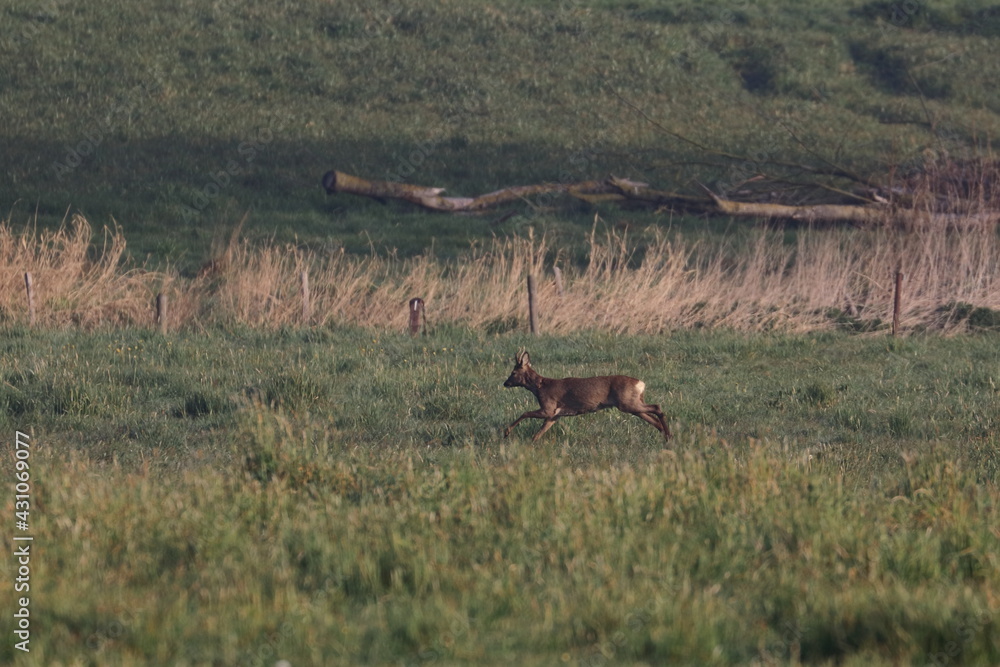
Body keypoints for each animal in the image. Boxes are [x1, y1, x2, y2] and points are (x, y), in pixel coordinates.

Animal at [502, 349, 672, 444]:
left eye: (513, 372)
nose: (505, 383)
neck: (540, 387)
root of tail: (641, 383)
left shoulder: (548, 408)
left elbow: (525, 413)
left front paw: (506, 432)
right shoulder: (555, 415)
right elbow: (538, 434)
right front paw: (530, 445)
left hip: (627, 403)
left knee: (657, 407)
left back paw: (668, 435)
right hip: (632, 404)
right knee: (654, 419)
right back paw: (667, 436)